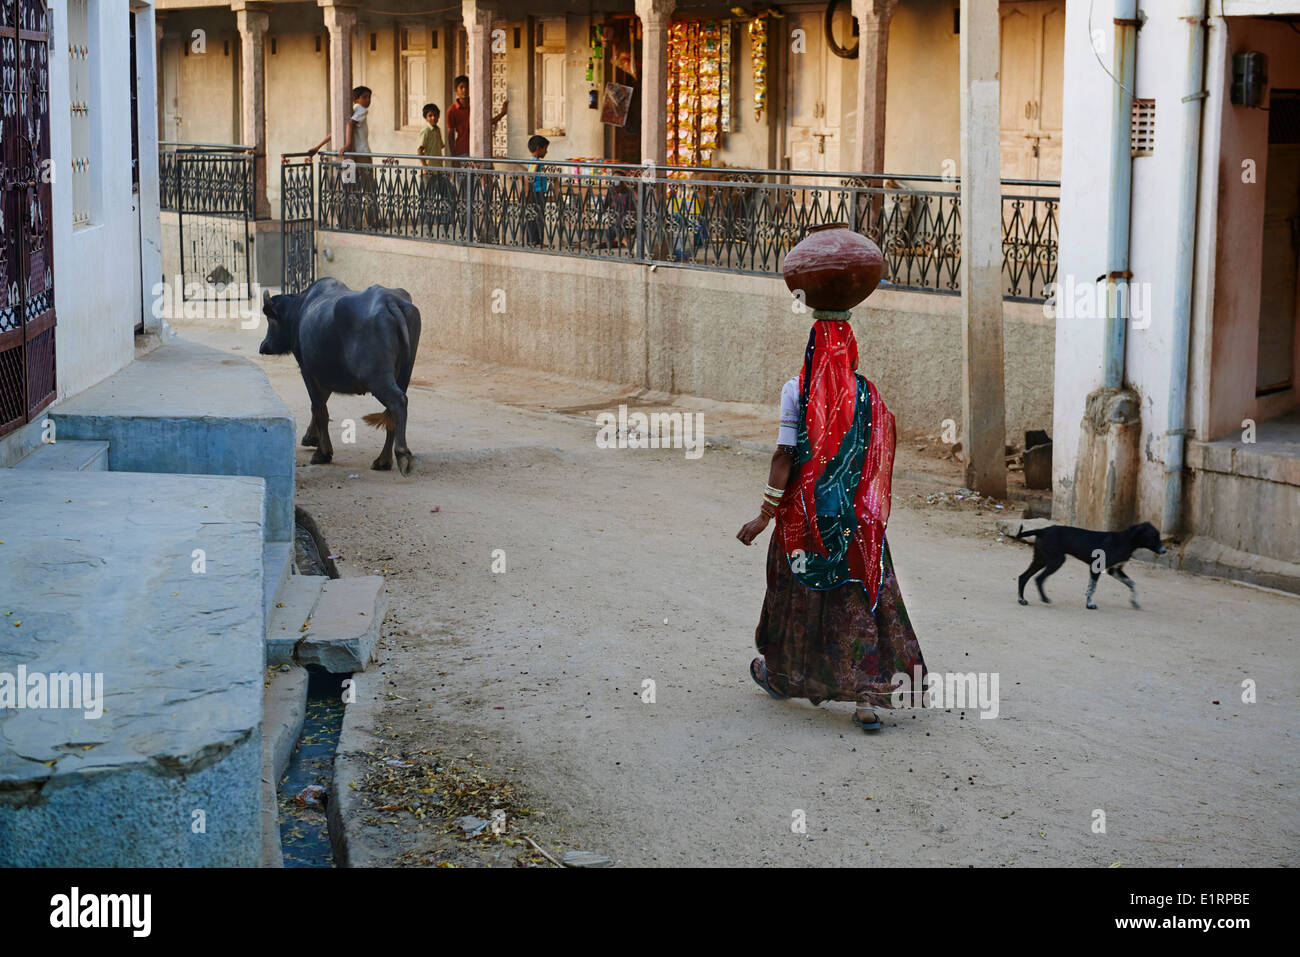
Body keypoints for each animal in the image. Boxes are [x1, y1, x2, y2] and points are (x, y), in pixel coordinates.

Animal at [253, 276, 416, 470]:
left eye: (270, 319)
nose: (264, 346)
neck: (300, 311)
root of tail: (389, 302)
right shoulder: (326, 374)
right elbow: (320, 403)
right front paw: (311, 437)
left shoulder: (308, 371)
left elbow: (319, 408)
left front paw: (322, 452)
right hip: (403, 375)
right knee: (392, 411)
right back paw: (383, 460)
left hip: (377, 378)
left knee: (397, 402)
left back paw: (401, 454)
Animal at [1013, 520, 1170, 608]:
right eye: (1153, 537)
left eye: (1158, 536)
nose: (1164, 550)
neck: (1125, 540)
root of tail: (1042, 530)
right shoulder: (1096, 567)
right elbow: (1092, 588)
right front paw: (1089, 604)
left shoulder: (1115, 570)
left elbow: (1133, 584)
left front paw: (1134, 602)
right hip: (1055, 561)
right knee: (1038, 578)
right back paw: (1044, 599)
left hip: (1041, 559)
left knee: (1023, 577)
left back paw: (1022, 600)